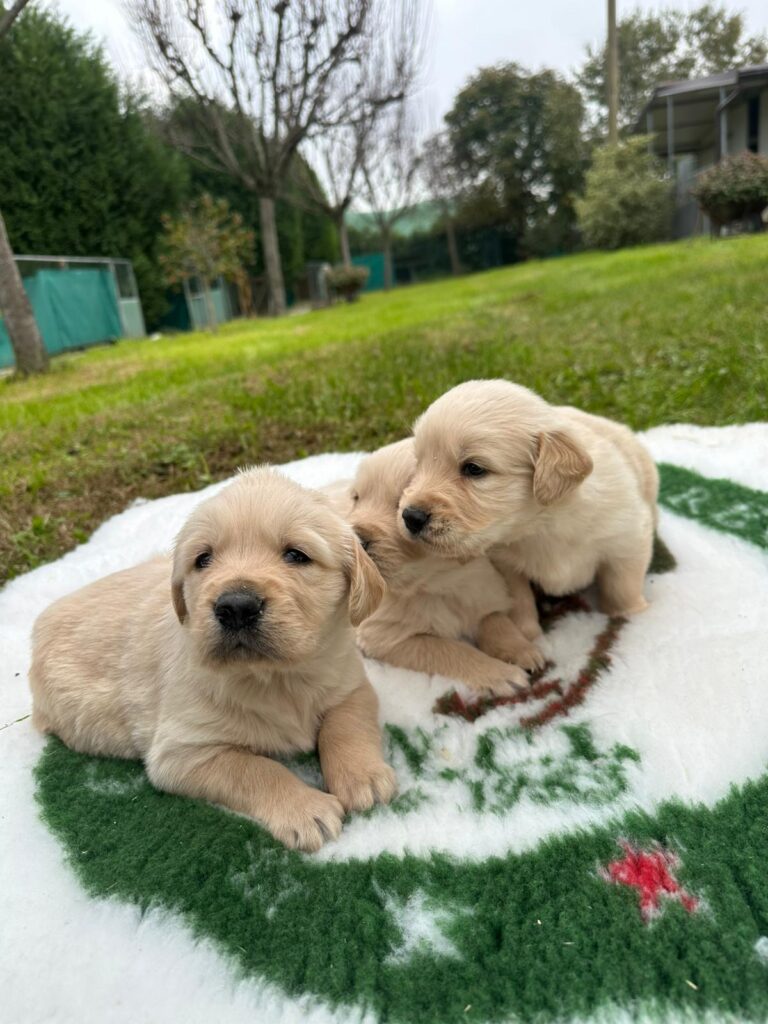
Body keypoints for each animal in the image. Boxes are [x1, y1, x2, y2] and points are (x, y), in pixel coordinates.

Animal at [28, 468, 397, 851]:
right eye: (203, 559)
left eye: (296, 555)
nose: (236, 606)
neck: (275, 676)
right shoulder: (181, 752)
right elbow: (255, 769)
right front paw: (307, 810)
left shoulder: (351, 682)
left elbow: (346, 723)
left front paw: (363, 777)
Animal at [337, 440, 548, 696]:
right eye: (356, 498)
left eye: (400, 503)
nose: (355, 541)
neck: (435, 581)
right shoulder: (382, 636)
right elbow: (449, 649)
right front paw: (502, 674)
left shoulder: (484, 587)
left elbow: (495, 619)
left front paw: (521, 650)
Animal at [399, 380, 659, 618]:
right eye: (418, 463)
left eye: (474, 469)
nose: (410, 517)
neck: (541, 526)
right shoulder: (506, 567)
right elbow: (520, 603)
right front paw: (530, 634)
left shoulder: (628, 539)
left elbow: (622, 589)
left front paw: (631, 615)